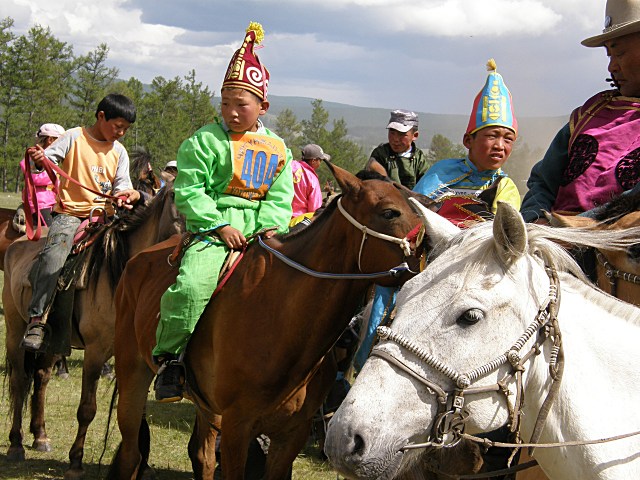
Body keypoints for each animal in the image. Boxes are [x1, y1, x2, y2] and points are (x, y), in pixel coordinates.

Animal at [2, 182, 182, 478]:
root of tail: (17, 244)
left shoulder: (132, 357)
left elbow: (137, 411)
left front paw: (141, 465)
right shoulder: (96, 352)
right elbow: (87, 408)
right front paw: (75, 462)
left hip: (54, 340)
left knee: (41, 378)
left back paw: (40, 436)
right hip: (15, 329)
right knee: (19, 381)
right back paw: (16, 444)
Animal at [107, 162, 430, 480]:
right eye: (389, 212)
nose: (431, 252)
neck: (282, 318)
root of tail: (139, 258)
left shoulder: (291, 435)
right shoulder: (237, 427)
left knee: (201, 455)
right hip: (132, 373)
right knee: (132, 454)